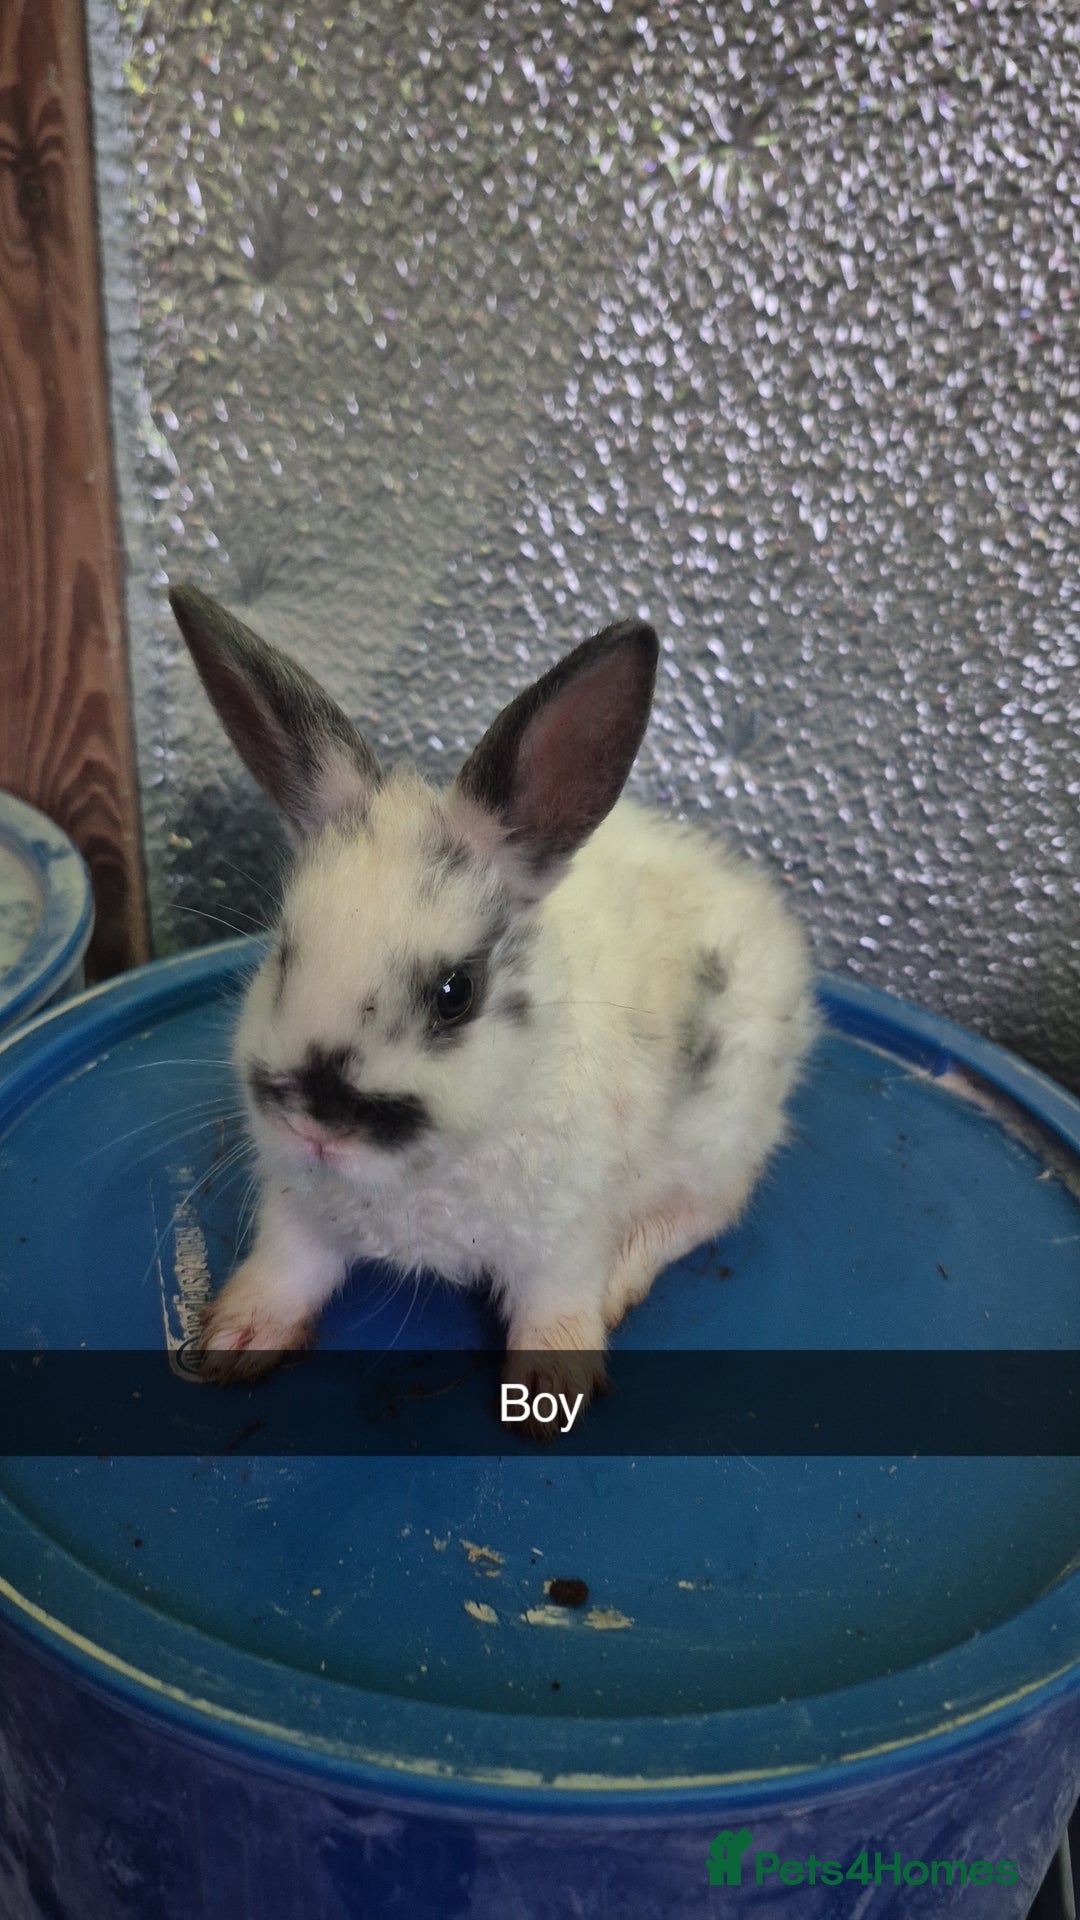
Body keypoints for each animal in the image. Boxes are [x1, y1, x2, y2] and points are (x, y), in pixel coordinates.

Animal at [168, 583, 819, 1422]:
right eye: (284, 953)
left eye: (456, 993)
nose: (316, 1124)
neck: (420, 1181)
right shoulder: (296, 1215)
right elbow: (286, 1271)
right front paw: (234, 1339)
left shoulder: (566, 1237)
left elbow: (554, 1303)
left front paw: (550, 1388)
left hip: (721, 1128)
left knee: (712, 1207)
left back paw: (624, 1278)